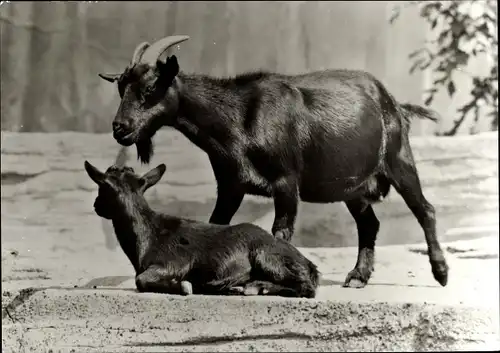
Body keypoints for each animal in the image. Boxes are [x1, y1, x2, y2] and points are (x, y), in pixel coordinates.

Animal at [84, 160, 320, 296]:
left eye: (102, 189)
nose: (95, 205)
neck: (148, 237)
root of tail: (308, 264)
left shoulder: (172, 262)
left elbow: (141, 280)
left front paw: (184, 286)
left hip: (266, 256)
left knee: (306, 288)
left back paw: (253, 287)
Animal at [99, 34, 452, 288]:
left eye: (150, 88)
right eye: (120, 88)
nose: (120, 128)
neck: (239, 117)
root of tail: (394, 102)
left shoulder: (286, 181)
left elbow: (280, 231)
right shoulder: (230, 184)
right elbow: (218, 223)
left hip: (398, 158)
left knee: (425, 209)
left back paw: (441, 273)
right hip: (352, 187)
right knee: (370, 223)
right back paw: (357, 277)